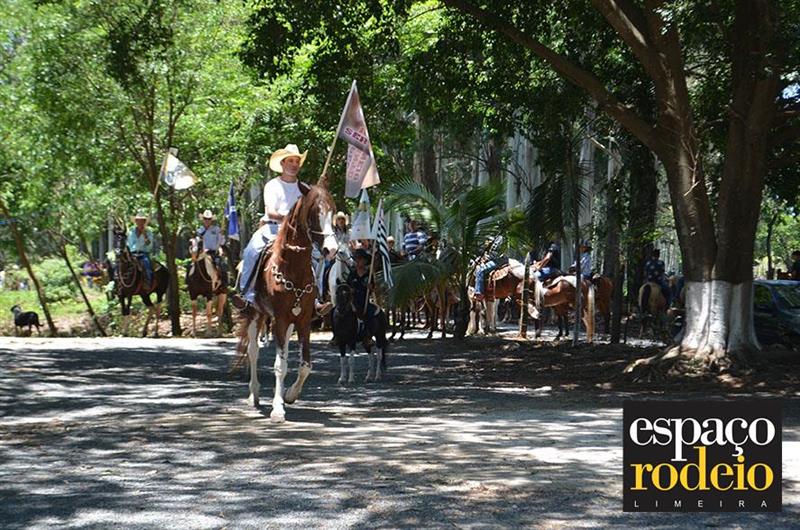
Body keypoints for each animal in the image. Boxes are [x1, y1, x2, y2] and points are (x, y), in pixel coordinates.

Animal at [235, 181, 337, 422]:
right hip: (256, 314)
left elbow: (305, 365)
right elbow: (280, 365)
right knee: (253, 351)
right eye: (314, 214)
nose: (332, 249)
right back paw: (253, 395)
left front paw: (290, 396)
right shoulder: (279, 320)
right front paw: (277, 409)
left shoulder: (303, 321)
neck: (293, 268)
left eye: (333, 211)